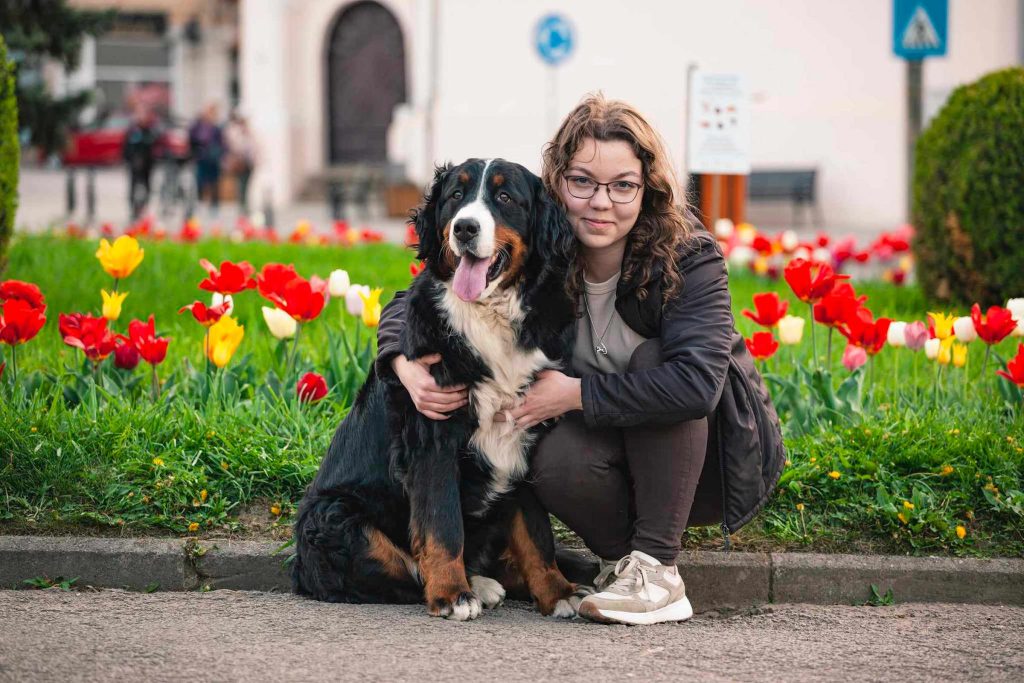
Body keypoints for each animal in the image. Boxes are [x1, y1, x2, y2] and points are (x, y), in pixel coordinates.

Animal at [292, 157, 589, 622]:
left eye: (505, 197)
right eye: (456, 195)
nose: (465, 228)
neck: (488, 318)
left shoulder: (525, 438)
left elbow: (537, 535)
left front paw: (557, 591)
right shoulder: (433, 437)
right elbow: (441, 525)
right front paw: (452, 594)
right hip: (336, 518)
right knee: (402, 569)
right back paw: (474, 585)